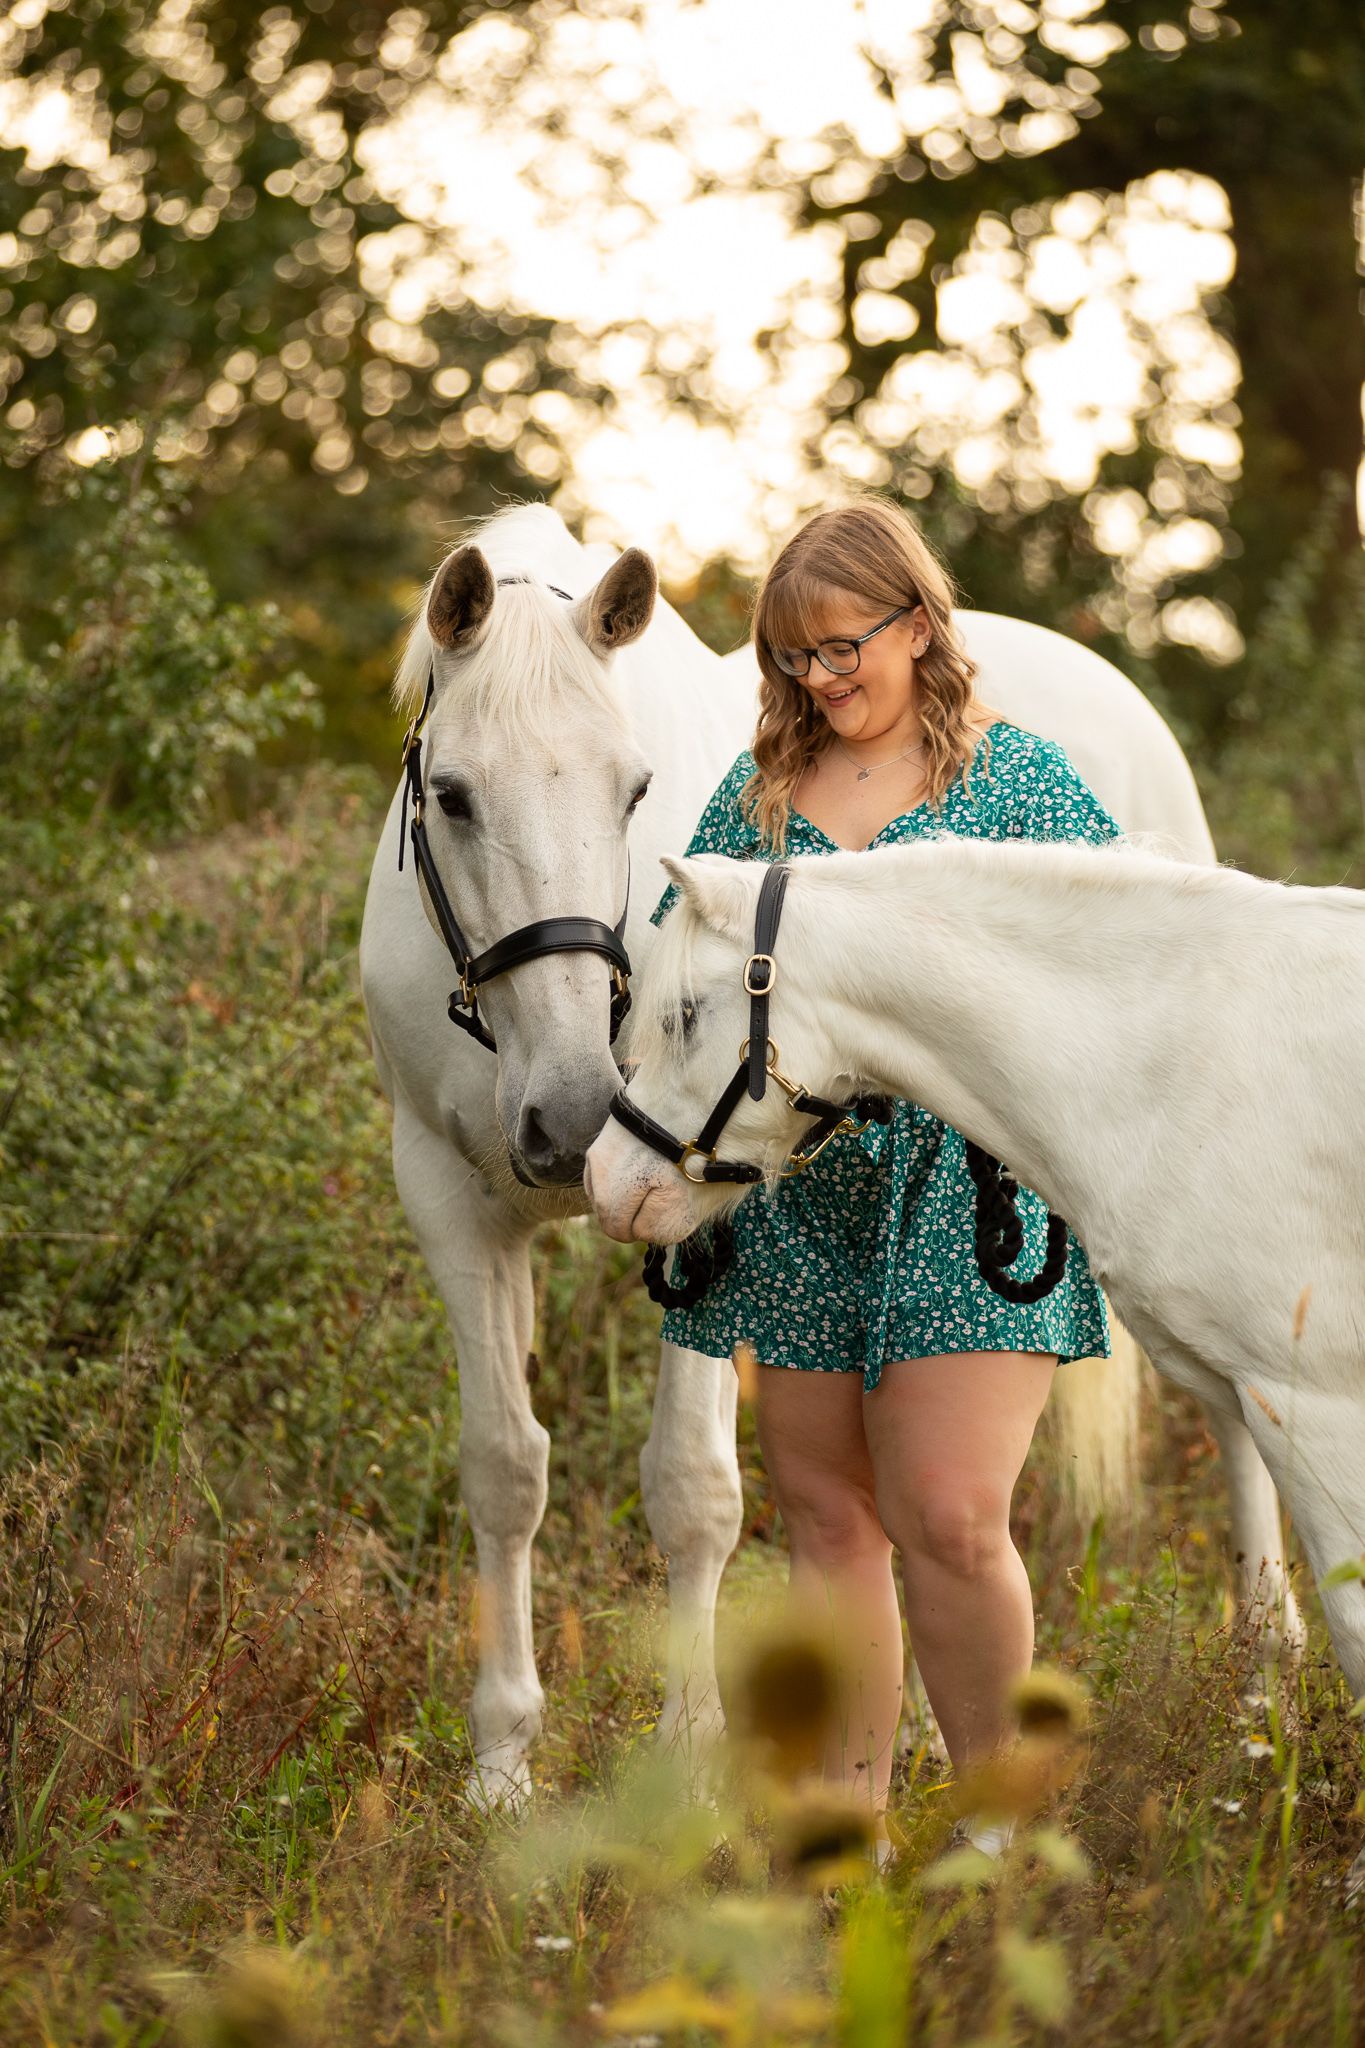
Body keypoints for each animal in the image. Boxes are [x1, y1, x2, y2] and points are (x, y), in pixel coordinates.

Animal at [359, 501, 1296, 1808]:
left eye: (634, 788)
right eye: (449, 794)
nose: (575, 1113)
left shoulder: (702, 1220)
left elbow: (692, 1487)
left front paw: (688, 1756)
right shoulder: (451, 1206)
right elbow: (504, 1468)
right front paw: (502, 1760)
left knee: (1232, 1412)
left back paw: (1265, 1683)